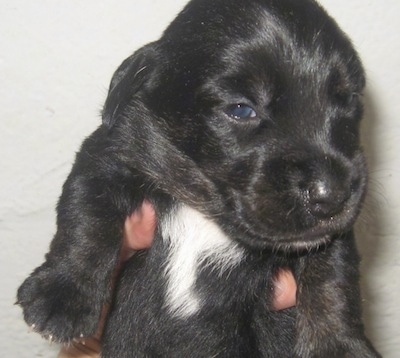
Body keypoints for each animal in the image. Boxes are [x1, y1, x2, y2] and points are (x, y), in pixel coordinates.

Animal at [18, 0, 382, 356]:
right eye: (241, 109)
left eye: (350, 99)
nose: (333, 194)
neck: (205, 212)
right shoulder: (110, 155)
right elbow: (87, 214)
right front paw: (62, 295)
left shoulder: (333, 235)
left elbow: (333, 275)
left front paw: (338, 346)